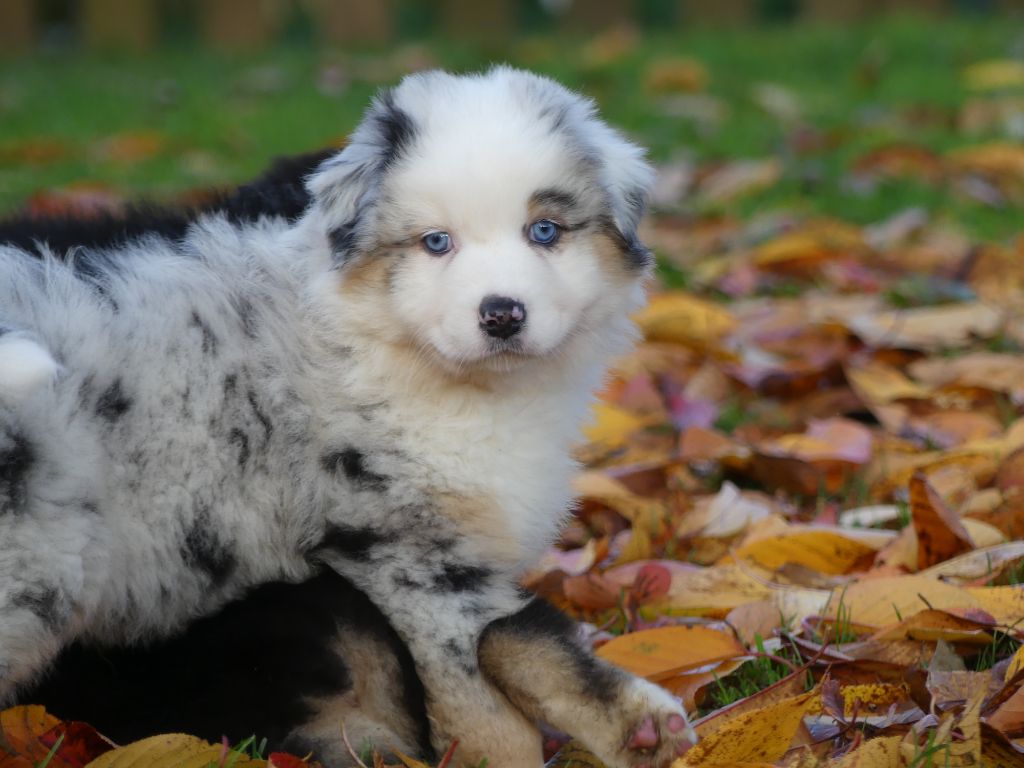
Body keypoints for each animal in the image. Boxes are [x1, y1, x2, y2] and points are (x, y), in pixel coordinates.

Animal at [0, 67, 693, 767]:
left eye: (545, 231)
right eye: (436, 243)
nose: (501, 314)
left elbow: (493, 648)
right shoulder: (394, 535)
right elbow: (482, 673)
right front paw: (621, 726)